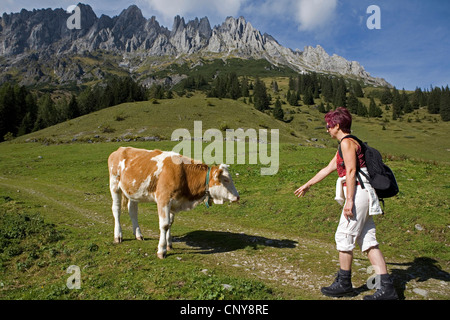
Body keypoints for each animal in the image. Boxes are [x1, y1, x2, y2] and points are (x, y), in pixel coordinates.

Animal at [107, 146, 241, 258]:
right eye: (226, 180)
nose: (237, 197)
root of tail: (121, 149)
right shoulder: (163, 199)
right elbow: (165, 225)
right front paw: (161, 250)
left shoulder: (174, 202)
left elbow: (170, 223)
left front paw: (169, 244)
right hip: (114, 185)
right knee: (116, 210)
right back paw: (118, 235)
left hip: (133, 192)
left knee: (133, 211)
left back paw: (138, 235)